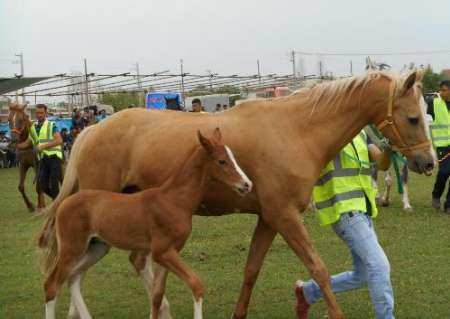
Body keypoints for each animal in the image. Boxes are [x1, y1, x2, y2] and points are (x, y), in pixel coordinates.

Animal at [43, 129, 251, 319]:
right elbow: (196, 284)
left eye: (233, 157)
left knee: (72, 278)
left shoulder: (168, 253)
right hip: (71, 249)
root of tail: (64, 203)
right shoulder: (162, 251)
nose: (247, 184)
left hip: (97, 247)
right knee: (52, 285)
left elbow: (157, 296)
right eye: (222, 161)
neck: (174, 200)